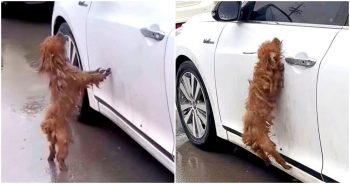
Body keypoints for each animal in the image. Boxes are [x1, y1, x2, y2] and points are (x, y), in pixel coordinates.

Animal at [38, 34, 110, 171]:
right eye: (57, 38)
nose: (60, 34)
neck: (57, 66)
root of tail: (51, 124)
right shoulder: (80, 77)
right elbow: (91, 77)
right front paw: (103, 74)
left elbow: (89, 72)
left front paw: (99, 70)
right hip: (64, 140)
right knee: (60, 156)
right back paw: (63, 167)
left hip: (51, 140)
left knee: (51, 149)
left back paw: (50, 158)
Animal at [242, 37, 292, 170]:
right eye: (275, 46)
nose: (276, 38)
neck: (264, 67)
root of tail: (249, 132)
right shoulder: (273, 88)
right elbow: (277, 79)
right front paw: (280, 68)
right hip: (265, 143)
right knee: (275, 155)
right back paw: (285, 165)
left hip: (258, 144)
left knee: (260, 152)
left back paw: (267, 162)